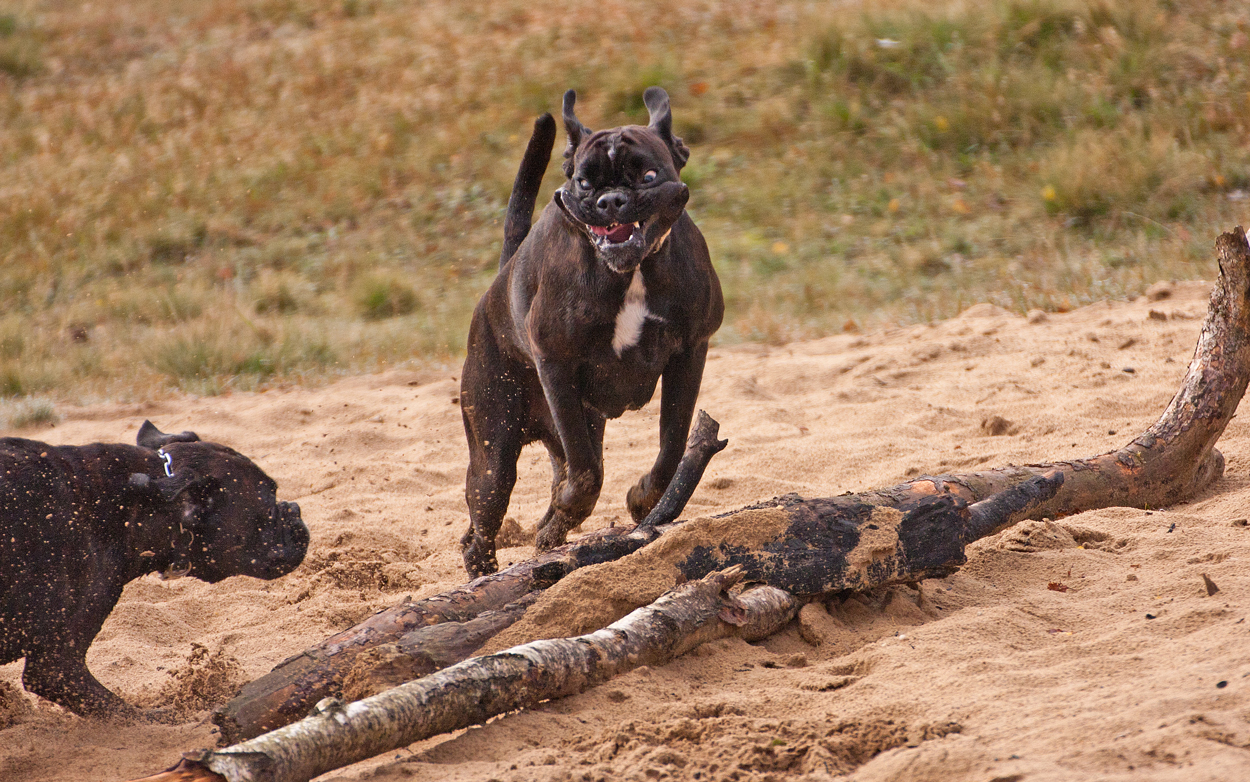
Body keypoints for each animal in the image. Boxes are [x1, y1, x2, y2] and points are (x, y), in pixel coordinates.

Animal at [462, 88, 730, 572]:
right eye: (584, 183)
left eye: (647, 174)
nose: (611, 200)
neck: (632, 271)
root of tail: (500, 280)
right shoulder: (555, 363)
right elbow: (586, 476)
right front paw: (565, 513)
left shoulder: (690, 353)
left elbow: (672, 446)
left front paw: (643, 498)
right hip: (493, 455)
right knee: (478, 531)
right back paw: (485, 574)